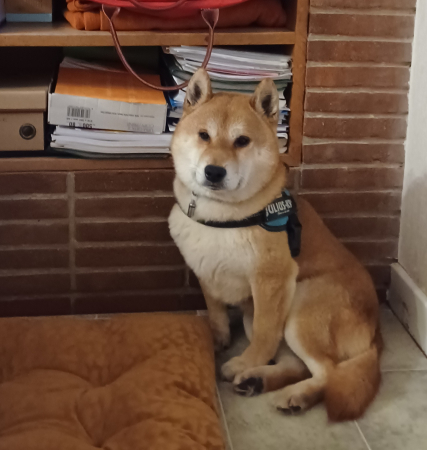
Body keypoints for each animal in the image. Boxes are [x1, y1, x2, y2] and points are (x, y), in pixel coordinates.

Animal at [168, 69, 381, 421]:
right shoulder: (206, 272)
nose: (214, 171)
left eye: (242, 141)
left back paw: (290, 392)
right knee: (299, 365)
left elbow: (266, 335)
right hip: (256, 314)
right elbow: (216, 311)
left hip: (300, 309)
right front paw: (217, 338)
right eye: (203, 135)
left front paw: (244, 361)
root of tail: (377, 334)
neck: (223, 216)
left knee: (328, 372)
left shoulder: (271, 282)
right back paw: (259, 381)